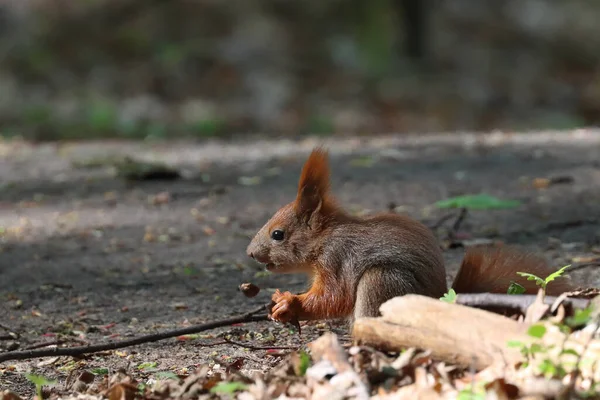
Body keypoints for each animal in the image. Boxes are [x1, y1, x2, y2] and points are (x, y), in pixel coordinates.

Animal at [245, 148, 576, 324]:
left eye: (278, 234)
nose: (250, 253)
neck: (324, 239)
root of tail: (440, 300)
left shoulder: (338, 259)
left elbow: (334, 297)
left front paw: (290, 304)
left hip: (383, 280)